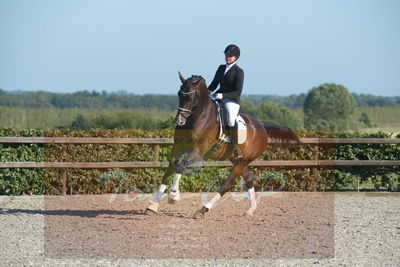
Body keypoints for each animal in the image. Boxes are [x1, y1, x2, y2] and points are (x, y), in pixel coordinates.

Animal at [145, 73, 298, 220]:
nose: (180, 121)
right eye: (179, 94)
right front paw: (152, 206)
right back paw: (250, 210)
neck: (198, 117)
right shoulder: (177, 148)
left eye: (191, 96)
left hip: (243, 160)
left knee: (227, 185)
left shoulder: (197, 152)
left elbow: (180, 166)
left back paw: (202, 210)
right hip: (236, 159)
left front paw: (173, 195)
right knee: (248, 178)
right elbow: (169, 170)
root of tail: (261, 125)